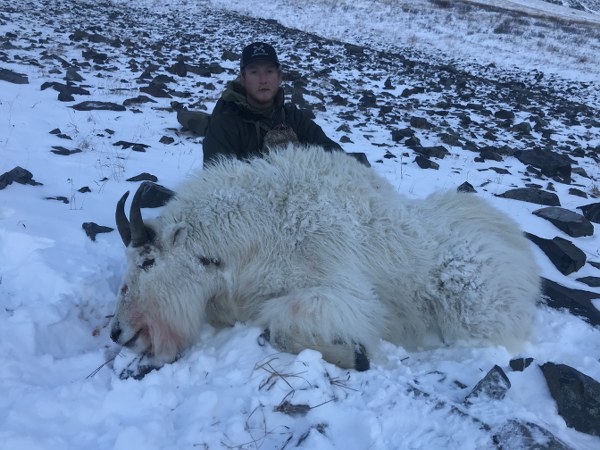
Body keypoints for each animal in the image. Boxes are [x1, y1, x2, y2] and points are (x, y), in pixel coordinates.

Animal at [111, 146, 540, 370]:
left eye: (148, 262)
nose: (119, 332)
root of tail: (523, 254)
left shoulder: (342, 295)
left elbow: (280, 327)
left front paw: (357, 354)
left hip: (471, 311)